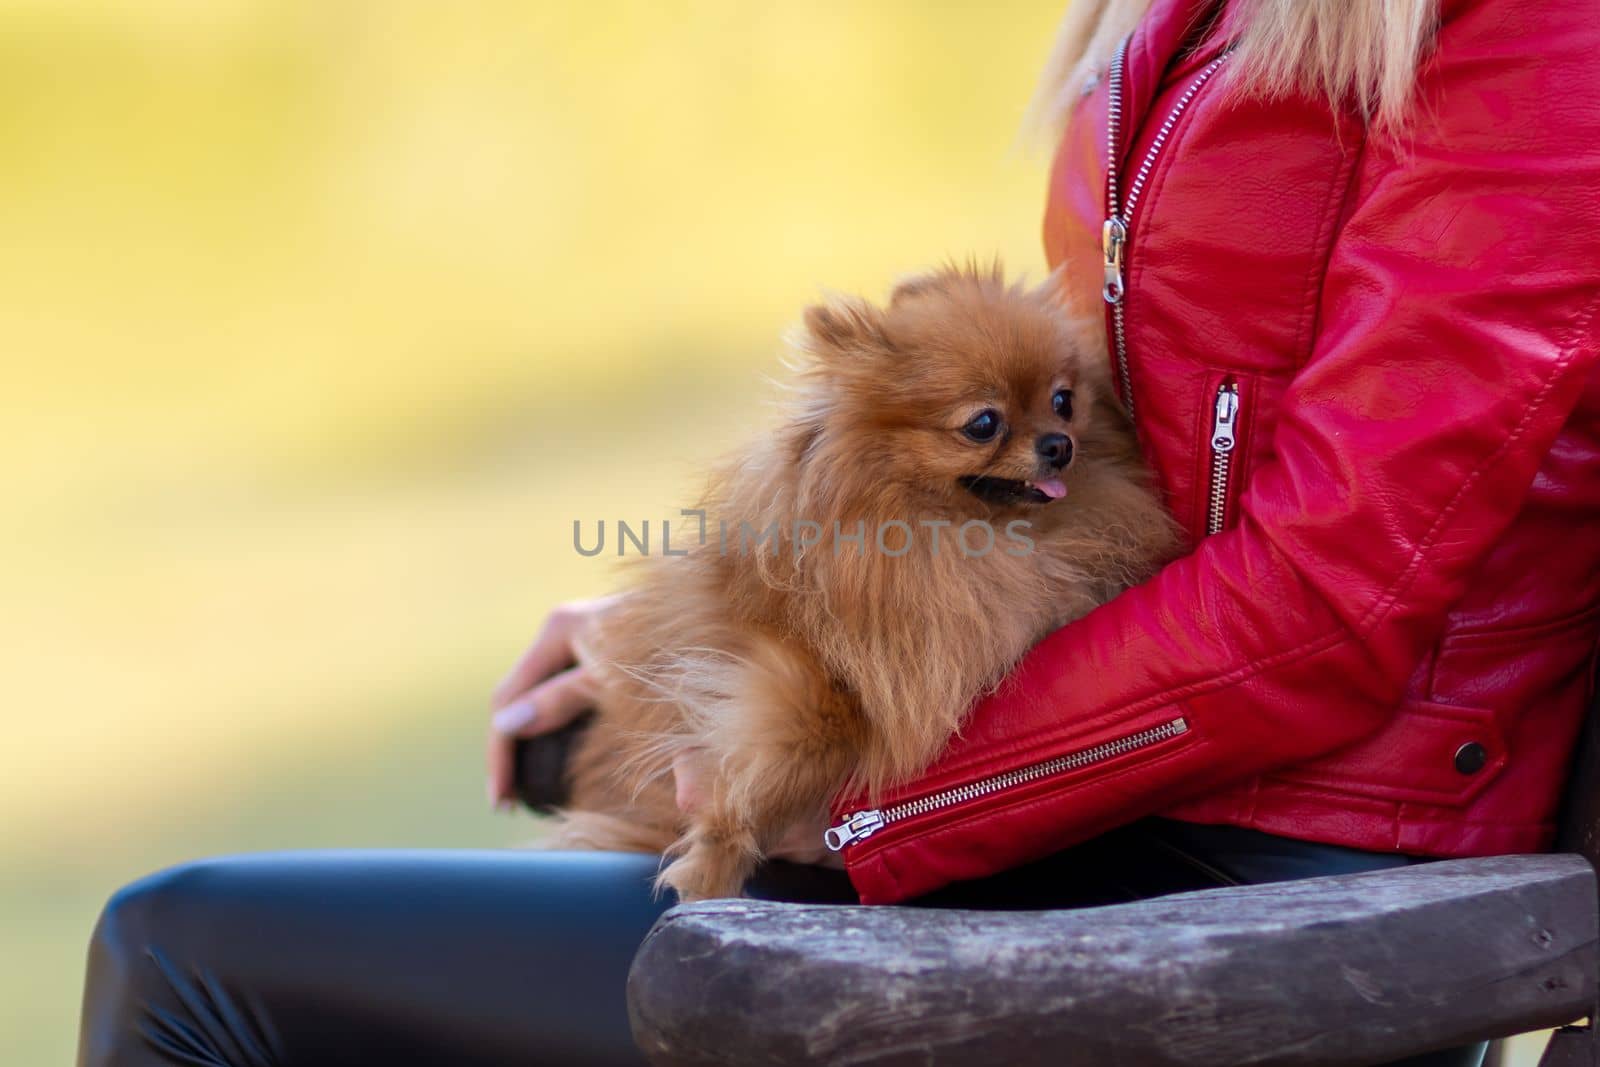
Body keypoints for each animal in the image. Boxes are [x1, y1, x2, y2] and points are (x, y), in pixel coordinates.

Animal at [556, 262, 1184, 895]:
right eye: (984, 423)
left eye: (1063, 401)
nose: (1060, 444)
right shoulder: (793, 670)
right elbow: (800, 743)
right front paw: (715, 861)